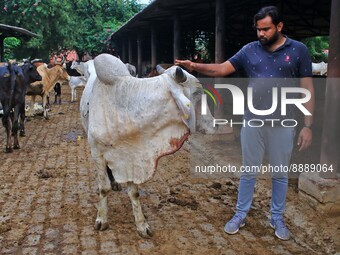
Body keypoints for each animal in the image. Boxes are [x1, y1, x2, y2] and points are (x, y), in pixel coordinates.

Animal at [81, 53, 216, 237]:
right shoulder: (97, 154)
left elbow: (134, 193)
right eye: (198, 92)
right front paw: (102, 219)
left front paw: (141, 224)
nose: (215, 125)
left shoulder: (131, 157)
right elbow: (103, 188)